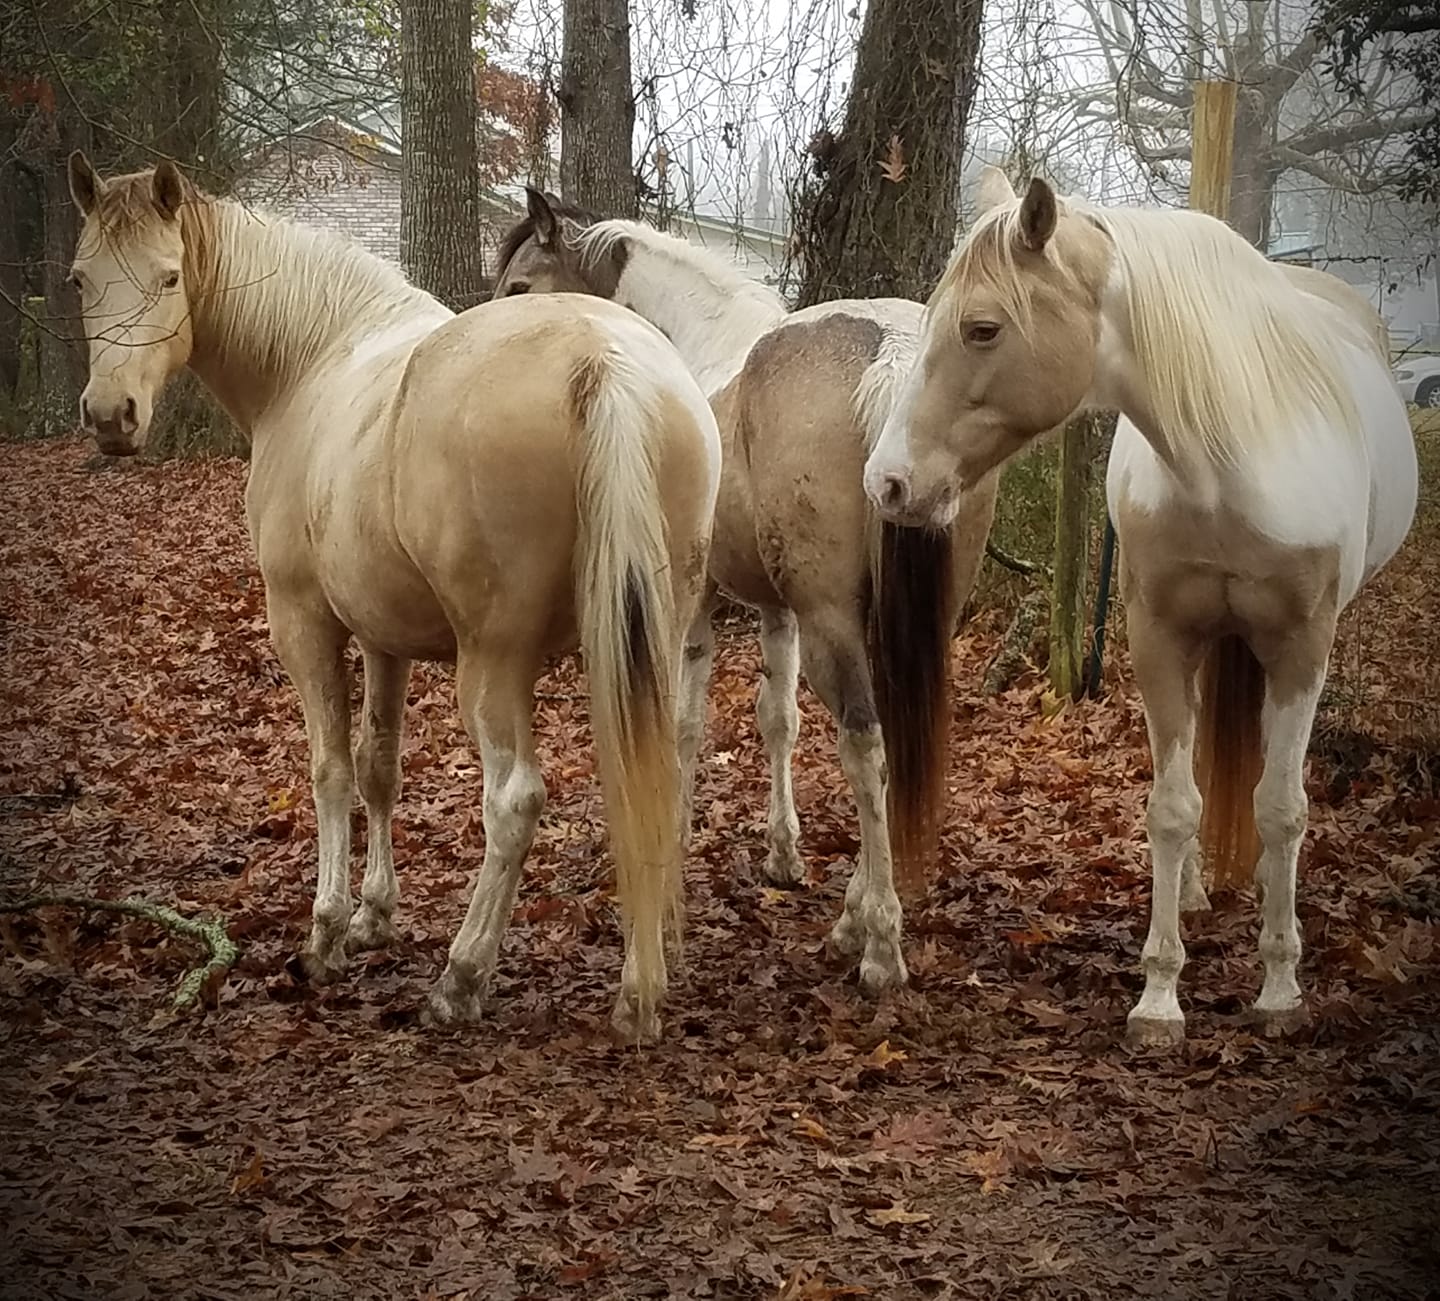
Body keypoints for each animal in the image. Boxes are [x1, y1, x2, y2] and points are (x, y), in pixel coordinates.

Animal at [65, 153, 722, 1042]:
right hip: (640, 648)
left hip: (494, 664)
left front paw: (328, 932)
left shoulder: (305, 623)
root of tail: (607, 358)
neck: (313, 360)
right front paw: (377, 913)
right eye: (80, 278)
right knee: (652, 778)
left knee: (513, 800)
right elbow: (381, 768)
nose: (110, 416)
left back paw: (462, 978)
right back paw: (639, 991)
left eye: (170, 276)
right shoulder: (384, 638)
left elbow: (332, 771)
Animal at [492, 189, 998, 992]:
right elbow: (776, 719)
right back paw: (855, 916)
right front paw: (783, 854)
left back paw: (878, 946)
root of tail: (892, 356)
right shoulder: (777, 610)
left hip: (834, 621)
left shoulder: (692, 601)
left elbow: (686, 720)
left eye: (521, 287)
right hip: (912, 619)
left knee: (866, 746)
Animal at [864, 166, 1417, 1044]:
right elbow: (1170, 808)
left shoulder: (1303, 648)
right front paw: (1160, 992)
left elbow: (1283, 809)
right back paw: (1190, 890)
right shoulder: (1159, 639)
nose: (886, 482)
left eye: (983, 329)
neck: (1233, 455)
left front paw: (1280, 985)